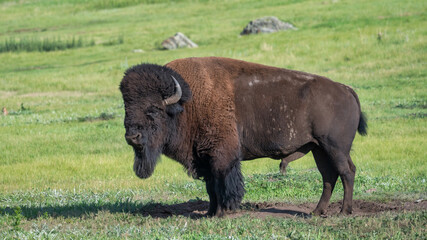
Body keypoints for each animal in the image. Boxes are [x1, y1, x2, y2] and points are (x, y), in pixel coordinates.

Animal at [120, 56, 368, 218]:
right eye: (127, 107)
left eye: (153, 109)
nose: (132, 136)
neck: (187, 103)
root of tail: (346, 90)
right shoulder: (203, 157)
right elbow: (210, 186)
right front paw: (210, 213)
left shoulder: (220, 155)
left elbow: (221, 182)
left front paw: (222, 212)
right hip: (319, 149)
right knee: (329, 176)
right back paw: (317, 212)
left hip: (334, 147)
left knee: (346, 172)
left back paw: (344, 211)